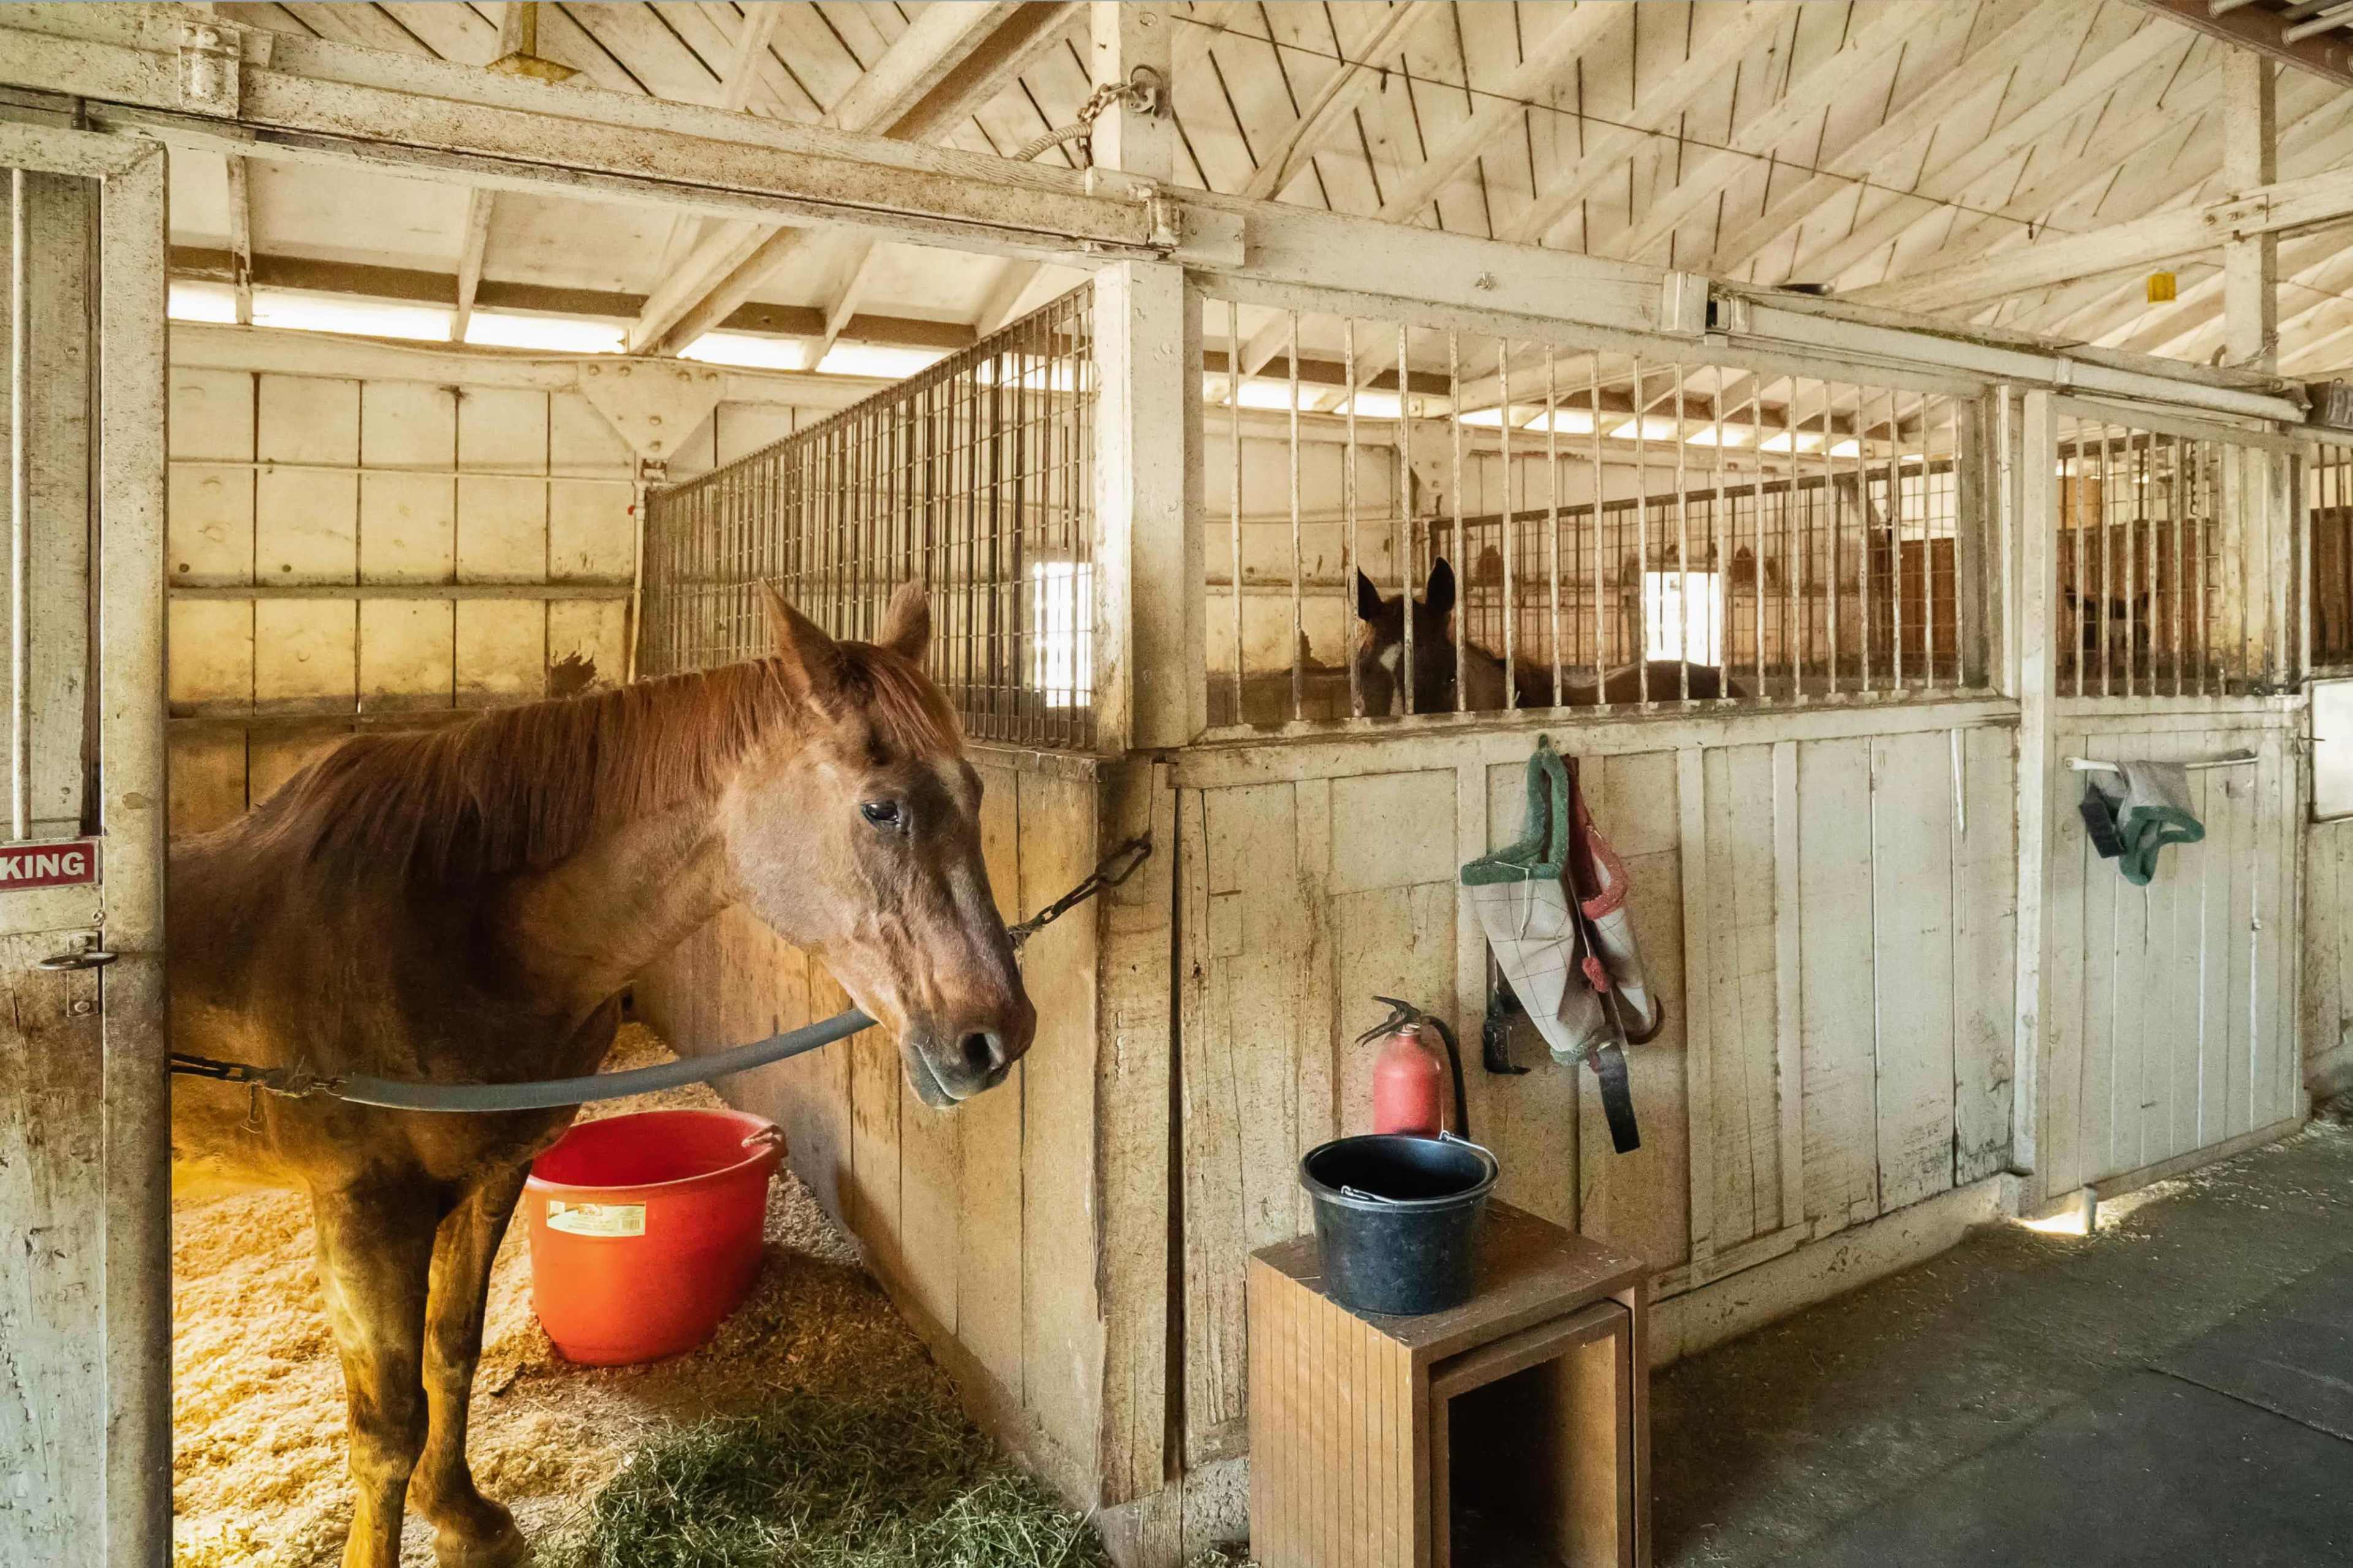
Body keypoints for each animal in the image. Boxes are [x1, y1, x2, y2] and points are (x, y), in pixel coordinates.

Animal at [167, 580, 1033, 1568]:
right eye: (881, 809)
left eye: (974, 790)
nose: (997, 1035)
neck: (455, 932)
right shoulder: (363, 1210)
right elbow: (386, 1427)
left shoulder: (488, 1176)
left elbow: (452, 1349)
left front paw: (467, 1519)